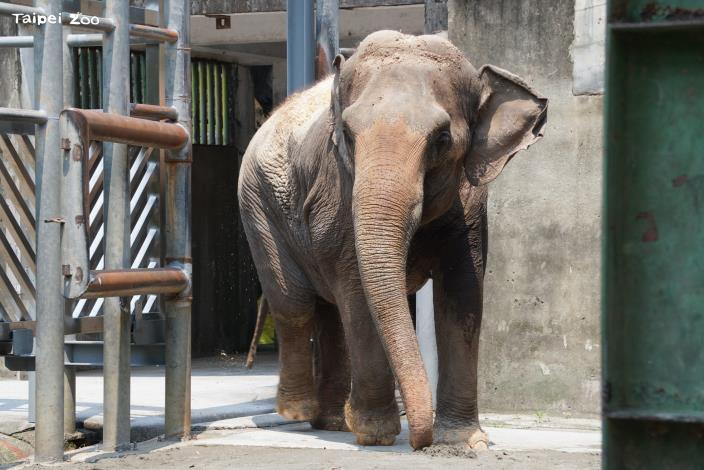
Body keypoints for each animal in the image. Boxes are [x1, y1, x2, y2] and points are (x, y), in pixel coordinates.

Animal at [237, 30, 547, 450]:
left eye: (442, 138)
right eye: (347, 135)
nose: (420, 441)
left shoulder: (471, 206)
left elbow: (463, 294)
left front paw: (464, 441)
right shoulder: (338, 194)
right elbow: (357, 292)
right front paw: (376, 434)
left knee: (330, 311)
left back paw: (332, 422)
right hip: (258, 204)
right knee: (295, 302)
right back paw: (297, 412)